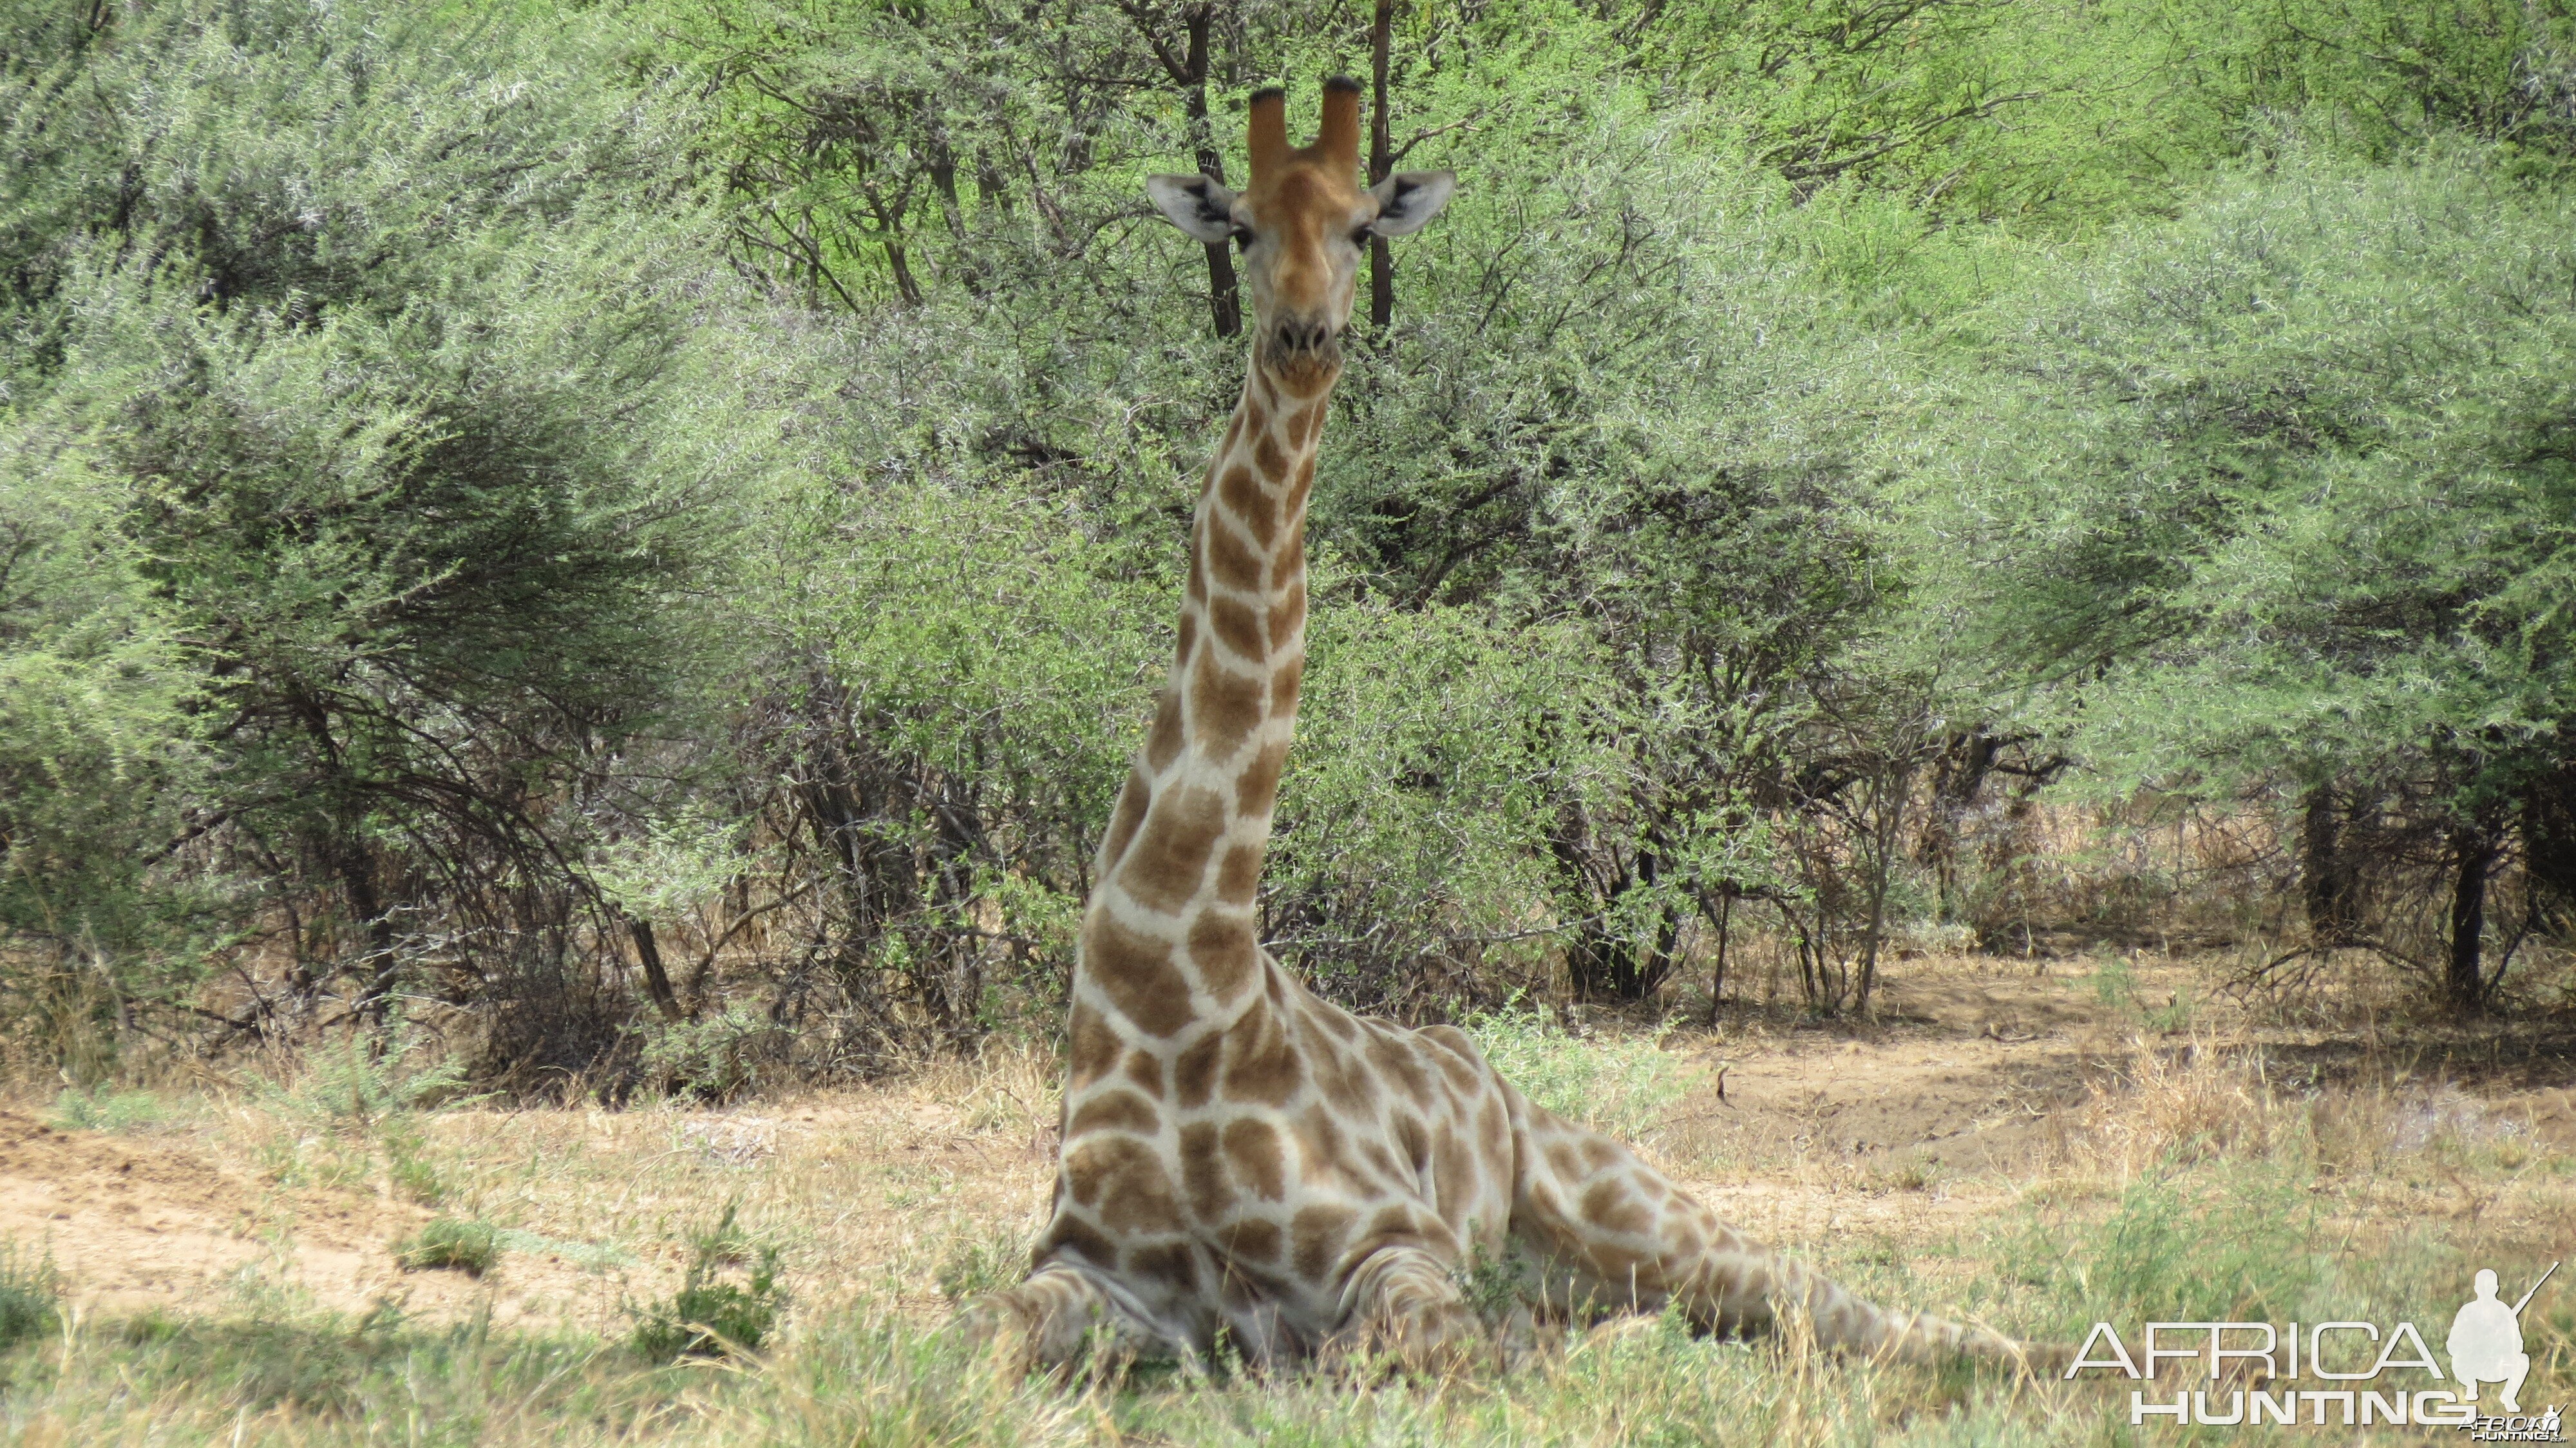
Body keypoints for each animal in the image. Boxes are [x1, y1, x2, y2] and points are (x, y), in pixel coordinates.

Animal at [963, 79, 2050, 1371]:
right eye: (1242, 227)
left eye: (1363, 229)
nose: (1304, 338)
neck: (1175, 973)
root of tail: (1481, 1066)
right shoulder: (1091, 1268)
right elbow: (956, 1338)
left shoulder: (1394, 1243)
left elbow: (1427, 1347)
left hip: (1634, 1204)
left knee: (1829, 1305)